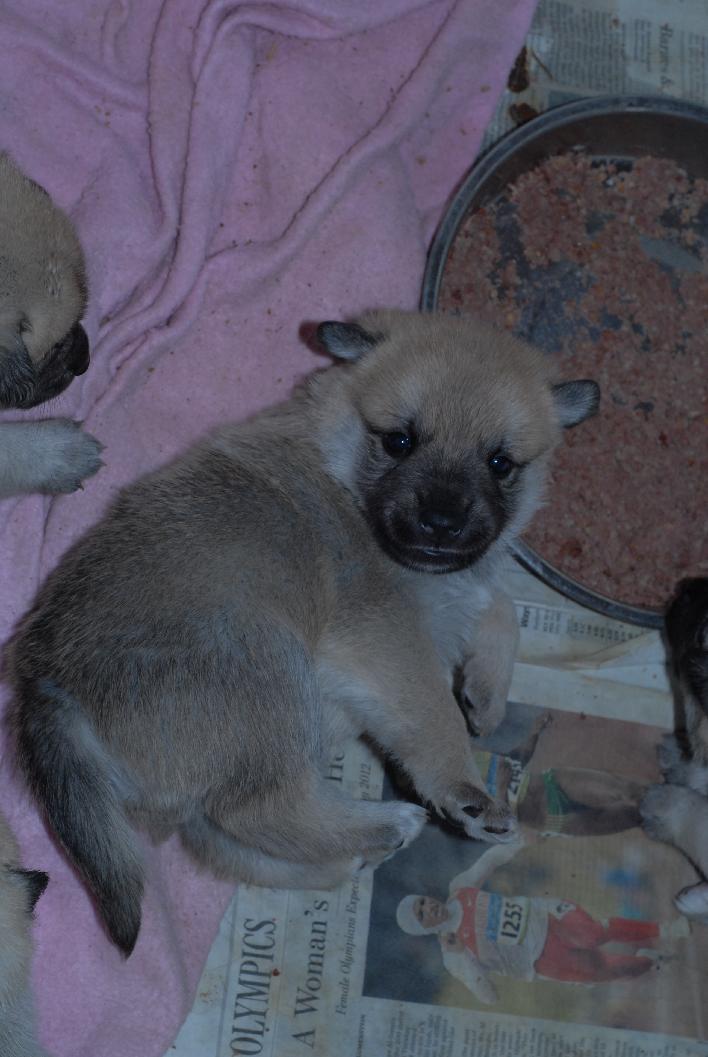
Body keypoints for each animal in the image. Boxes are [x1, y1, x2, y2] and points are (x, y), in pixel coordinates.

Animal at [9, 308, 600, 955]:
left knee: (242, 839)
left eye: (500, 463)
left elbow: (502, 608)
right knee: (265, 811)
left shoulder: (463, 588)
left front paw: (487, 695)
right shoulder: (390, 640)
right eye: (399, 441)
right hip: (266, 670)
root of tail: (49, 688)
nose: (441, 522)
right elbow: (435, 714)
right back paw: (390, 822)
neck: (341, 467)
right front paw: (464, 784)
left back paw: (358, 853)